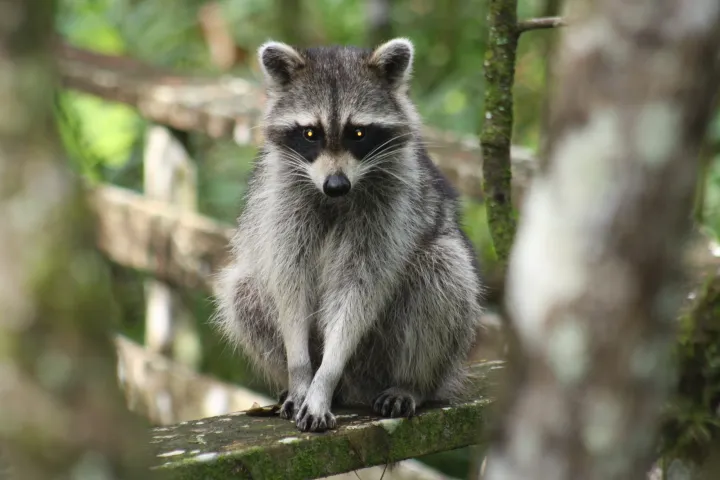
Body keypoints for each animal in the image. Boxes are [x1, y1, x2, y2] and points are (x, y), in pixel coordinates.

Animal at [213, 38, 484, 433]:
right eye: (311, 133)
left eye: (358, 133)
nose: (336, 184)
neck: (334, 198)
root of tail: (358, 387)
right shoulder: (281, 204)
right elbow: (289, 285)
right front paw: (301, 375)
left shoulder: (391, 208)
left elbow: (358, 291)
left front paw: (324, 378)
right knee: (243, 289)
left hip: (412, 353)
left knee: (442, 269)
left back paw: (411, 383)